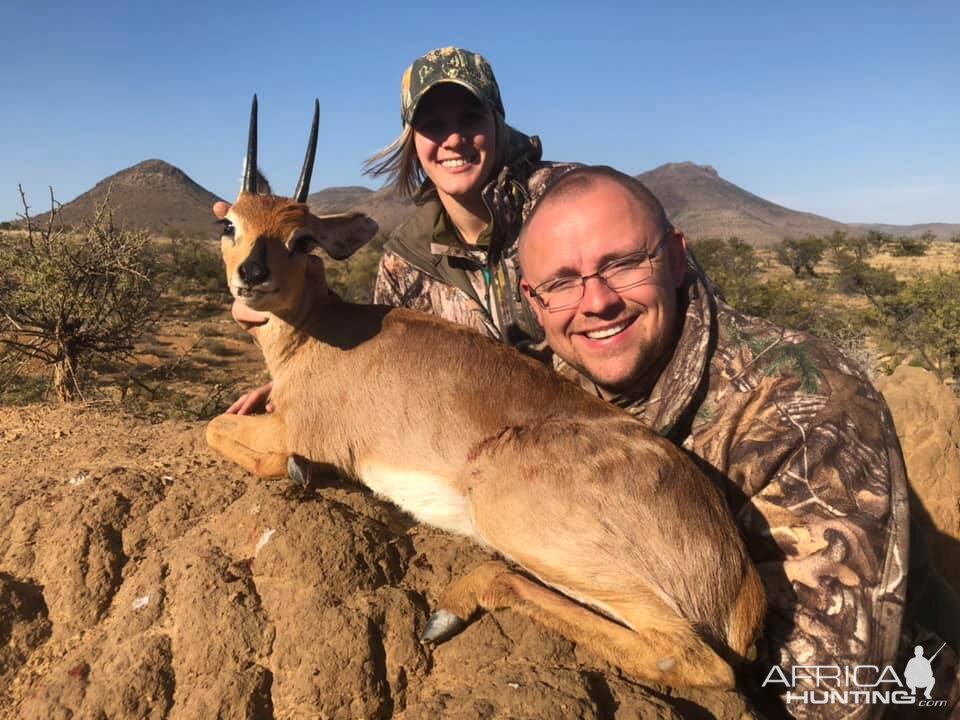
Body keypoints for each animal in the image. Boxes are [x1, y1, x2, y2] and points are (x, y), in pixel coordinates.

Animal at [208, 97, 764, 692]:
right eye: (230, 223)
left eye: (302, 238)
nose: (252, 275)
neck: (318, 331)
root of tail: (740, 583)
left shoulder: (294, 428)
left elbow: (216, 428)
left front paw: (298, 469)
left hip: (524, 529)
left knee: (687, 656)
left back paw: (448, 609)